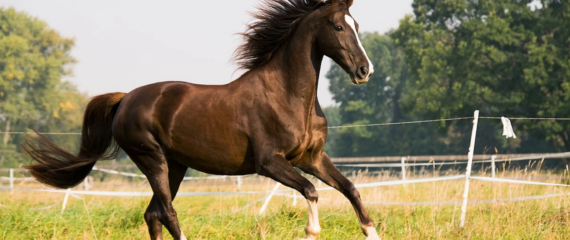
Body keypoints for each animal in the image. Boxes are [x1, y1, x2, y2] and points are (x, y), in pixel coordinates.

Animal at [22, 0, 380, 239]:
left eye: (357, 26)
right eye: (338, 27)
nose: (365, 71)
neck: (288, 96)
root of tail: (125, 99)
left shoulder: (312, 158)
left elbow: (351, 189)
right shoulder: (270, 162)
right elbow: (311, 191)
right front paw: (311, 229)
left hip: (175, 166)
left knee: (152, 213)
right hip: (152, 159)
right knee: (166, 212)